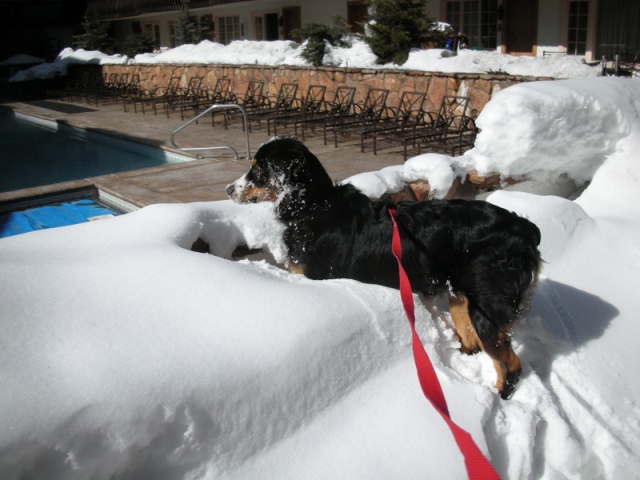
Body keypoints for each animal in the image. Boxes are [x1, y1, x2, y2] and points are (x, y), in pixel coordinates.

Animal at [226, 137, 541, 399]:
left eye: (258, 169)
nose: (228, 189)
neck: (313, 207)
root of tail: (525, 230)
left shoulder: (314, 275)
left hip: (488, 305)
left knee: (510, 365)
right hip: (461, 297)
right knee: (471, 341)